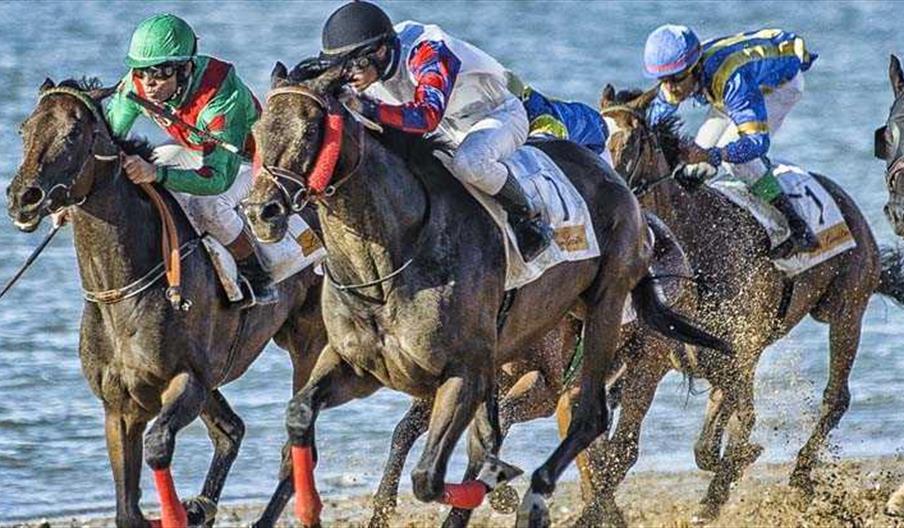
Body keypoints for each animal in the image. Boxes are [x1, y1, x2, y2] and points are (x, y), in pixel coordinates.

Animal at [6, 78, 327, 528]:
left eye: (73, 133)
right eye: (24, 129)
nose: (24, 197)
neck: (122, 292)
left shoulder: (188, 381)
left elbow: (159, 445)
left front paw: (182, 511)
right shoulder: (119, 407)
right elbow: (127, 509)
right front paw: (190, 509)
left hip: (309, 344)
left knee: (296, 446)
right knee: (232, 431)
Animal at [242, 61, 729, 528]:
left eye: (311, 129)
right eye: (259, 130)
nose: (259, 211)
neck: (387, 266)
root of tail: (622, 189)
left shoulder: (469, 373)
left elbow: (431, 475)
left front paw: (500, 484)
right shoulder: (360, 367)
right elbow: (300, 412)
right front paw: (307, 508)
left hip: (611, 313)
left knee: (592, 416)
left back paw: (535, 497)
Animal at [596, 84, 896, 524]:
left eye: (631, 142)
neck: (695, 243)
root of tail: (847, 203)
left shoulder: (738, 347)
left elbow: (733, 427)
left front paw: (729, 472)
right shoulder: (689, 353)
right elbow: (716, 431)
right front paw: (723, 477)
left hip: (847, 309)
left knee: (835, 398)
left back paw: (802, 473)